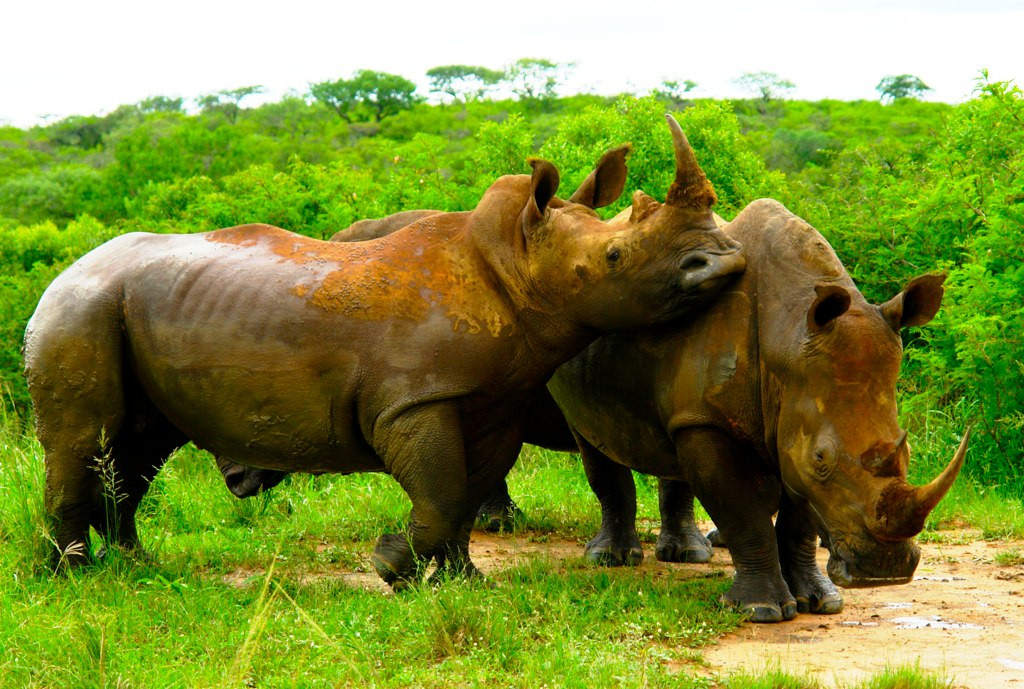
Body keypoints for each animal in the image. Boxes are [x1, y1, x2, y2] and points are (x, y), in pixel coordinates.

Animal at [24, 116, 746, 588]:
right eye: (614, 257)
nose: (725, 262)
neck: (514, 262)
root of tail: (65, 270)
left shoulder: (494, 400)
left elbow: (464, 492)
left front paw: (458, 579)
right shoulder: (412, 400)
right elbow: (442, 490)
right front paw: (392, 565)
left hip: (121, 311)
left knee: (139, 447)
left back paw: (136, 567)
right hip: (80, 310)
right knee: (85, 439)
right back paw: (73, 579)